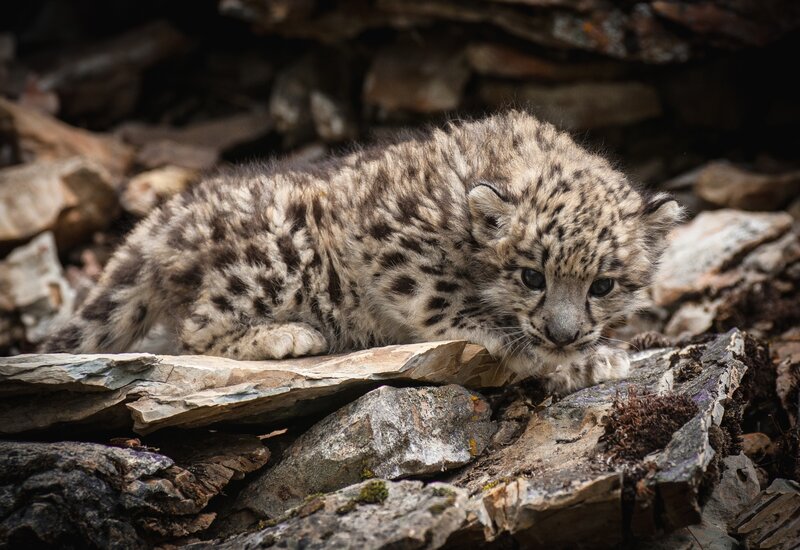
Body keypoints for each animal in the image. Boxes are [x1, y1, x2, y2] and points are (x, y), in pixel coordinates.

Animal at [43, 110, 682, 393]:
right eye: (531, 276)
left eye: (603, 285)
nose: (563, 333)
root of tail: (178, 211)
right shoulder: (396, 246)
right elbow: (452, 304)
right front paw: (567, 358)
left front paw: (593, 355)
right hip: (272, 261)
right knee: (196, 328)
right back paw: (289, 334)